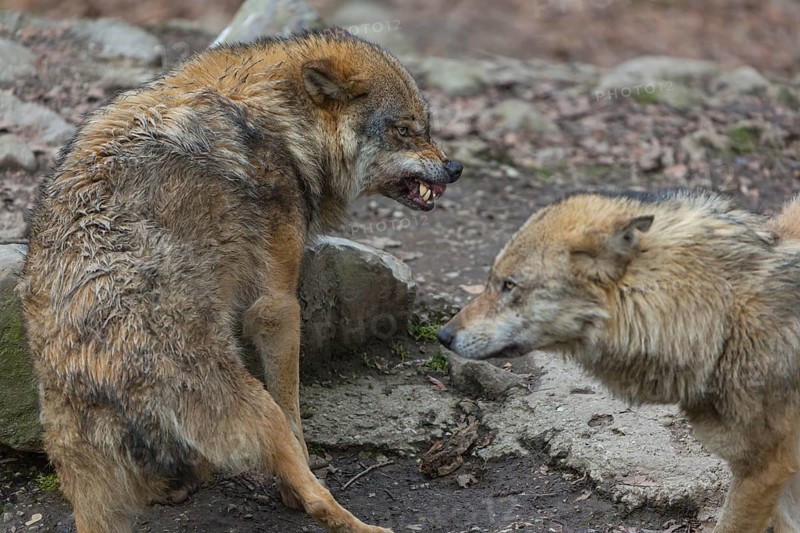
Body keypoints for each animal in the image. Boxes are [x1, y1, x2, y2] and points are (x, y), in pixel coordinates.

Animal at [18, 28, 461, 533]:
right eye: (405, 130)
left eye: (425, 127)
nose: (455, 168)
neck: (280, 120)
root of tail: (95, 381)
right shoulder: (275, 306)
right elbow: (294, 414)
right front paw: (301, 475)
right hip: (255, 406)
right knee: (311, 489)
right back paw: (355, 521)